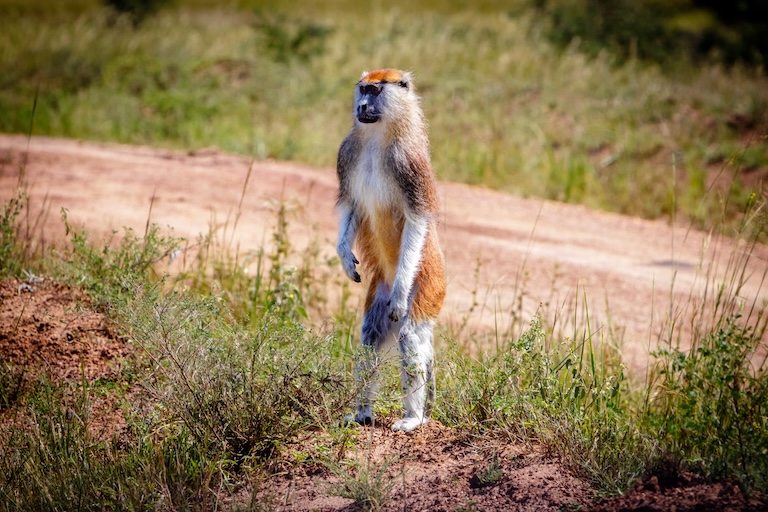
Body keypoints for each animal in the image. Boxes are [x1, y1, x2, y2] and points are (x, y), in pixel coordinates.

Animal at [335, 69, 446, 433]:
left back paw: (413, 418)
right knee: (370, 337)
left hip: (429, 288)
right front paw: (344, 256)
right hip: (378, 291)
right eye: (363, 89)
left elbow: (417, 220)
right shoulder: (347, 154)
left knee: (409, 337)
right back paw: (361, 413)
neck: (378, 137)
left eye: (376, 91)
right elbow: (351, 205)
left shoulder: (409, 165)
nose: (362, 106)